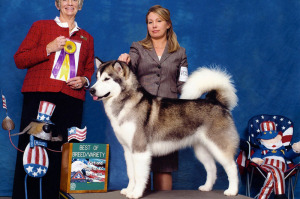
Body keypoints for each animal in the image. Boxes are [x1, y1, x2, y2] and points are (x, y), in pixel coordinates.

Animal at [90, 58, 240, 199]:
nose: (91, 90)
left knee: (232, 167)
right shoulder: (128, 150)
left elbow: (139, 175)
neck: (125, 104)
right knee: (211, 167)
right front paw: (128, 190)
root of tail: (216, 101)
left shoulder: (140, 150)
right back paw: (207, 187)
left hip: (219, 146)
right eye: (97, 78)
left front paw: (136, 193)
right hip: (201, 149)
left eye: (106, 79)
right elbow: (131, 174)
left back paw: (232, 191)